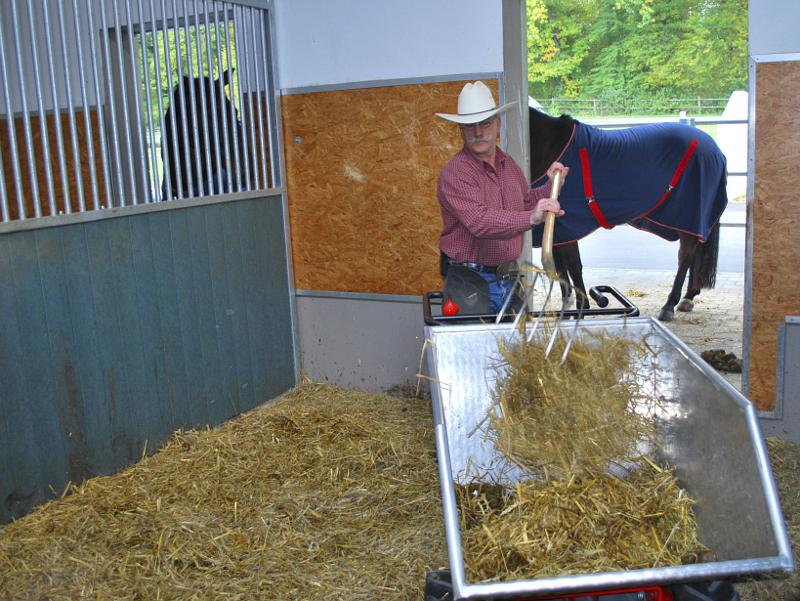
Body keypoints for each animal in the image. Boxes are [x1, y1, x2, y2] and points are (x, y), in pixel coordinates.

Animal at [528, 108, 728, 324]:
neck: (553, 146)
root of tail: (714, 148)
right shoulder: (559, 230)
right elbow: (561, 268)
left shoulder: (566, 226)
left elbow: (573, 266)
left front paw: (581, 308)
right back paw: (688, 297)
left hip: (689, 217)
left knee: (685, 257)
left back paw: (669, 306)